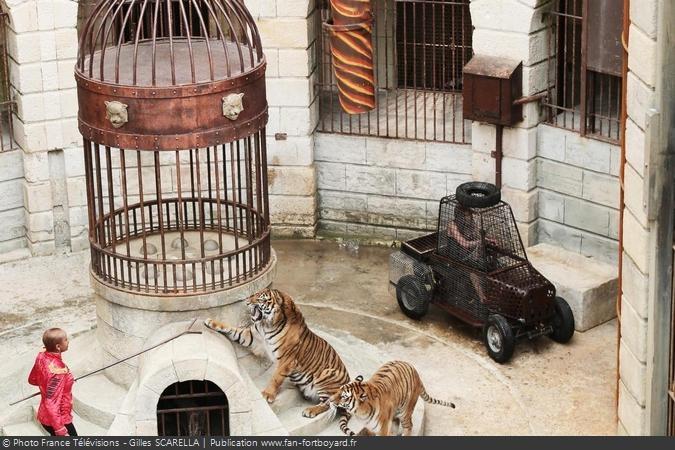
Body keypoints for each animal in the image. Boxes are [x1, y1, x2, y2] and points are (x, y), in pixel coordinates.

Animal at [205, 288, 354, 418]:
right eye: (254, 294)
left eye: (260, 298)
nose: (247, 302)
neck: (267, 325)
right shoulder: (253, 337)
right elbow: (231, 329)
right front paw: (210, 322)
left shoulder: (286, 360)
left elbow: (276, 378)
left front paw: (267, 394)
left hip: (327, 374)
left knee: (329, 404)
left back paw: (310, 410)